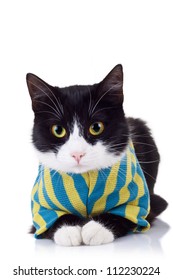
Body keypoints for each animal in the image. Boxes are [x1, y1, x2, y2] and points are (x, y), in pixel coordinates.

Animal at [27, 64, 168, 246]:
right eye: (58, 130)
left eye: (96, 127)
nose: (77, 154)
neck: (84, 178)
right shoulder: (42, 205)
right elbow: (50, 217)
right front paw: (68, 229)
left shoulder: (137, 202)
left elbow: (124, 213)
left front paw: (97, 228)